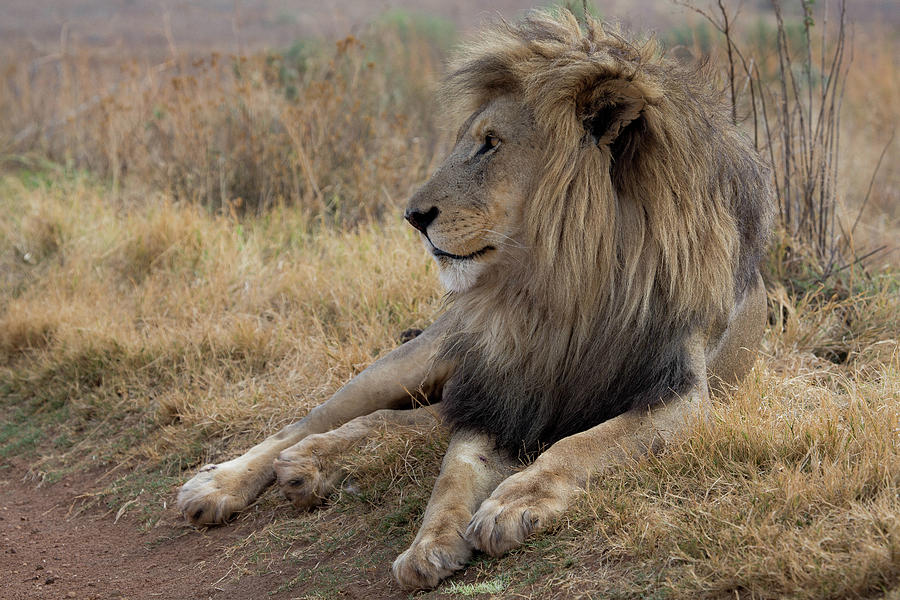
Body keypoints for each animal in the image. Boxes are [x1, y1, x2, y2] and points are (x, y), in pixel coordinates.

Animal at [176, 9, 772, 592]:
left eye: (490, 143)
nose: (412, 217)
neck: (560, 288)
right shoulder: (500, 389)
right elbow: (456, 468)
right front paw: (429, 544)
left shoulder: (679, 396)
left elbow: (585, 443)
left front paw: (514, 503)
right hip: (420, 358)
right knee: (310, 421)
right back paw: (224, 483)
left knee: (402, 422)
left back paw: (311, 464)